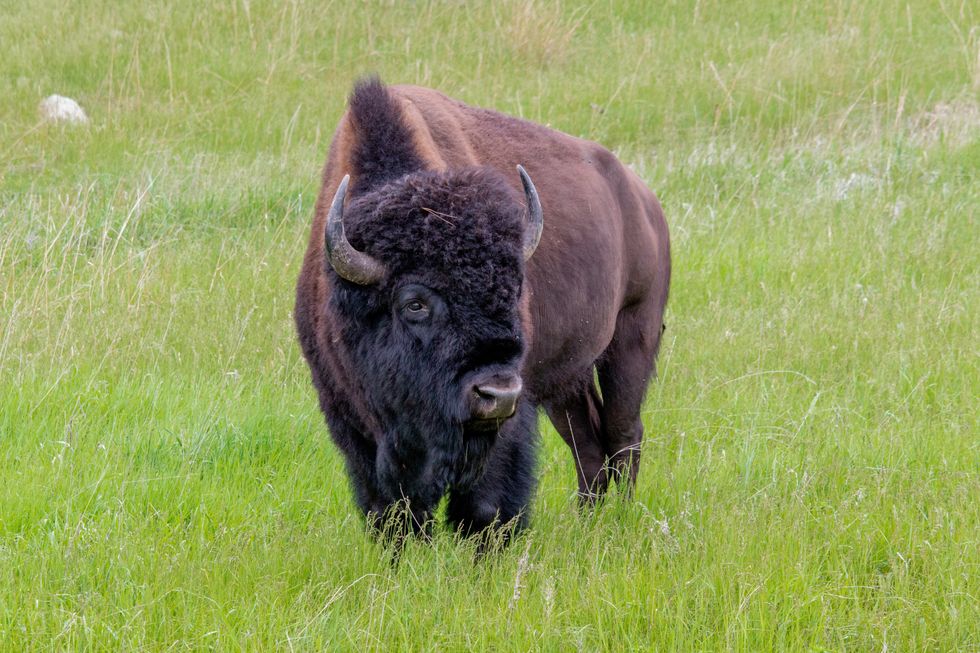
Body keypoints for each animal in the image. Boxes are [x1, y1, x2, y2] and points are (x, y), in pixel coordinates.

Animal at [295, 78, 670, 541]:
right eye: (414, 303)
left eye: (513, 290)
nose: (497, 393)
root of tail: (644, 200)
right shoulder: (351, 422)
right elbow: (392, 512)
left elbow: (486, 506)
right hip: (567, 380)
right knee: (588, 443)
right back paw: (587, 521)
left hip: (632, 337)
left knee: (623, 433)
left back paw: (619, 519)